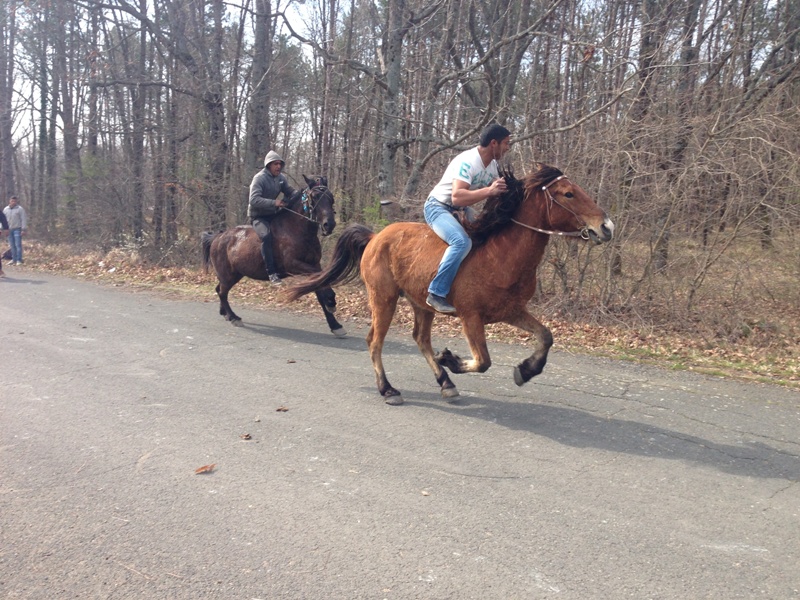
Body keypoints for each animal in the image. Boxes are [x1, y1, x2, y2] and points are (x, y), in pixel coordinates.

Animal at [200, 176, 344, 338]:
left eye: (330, 197)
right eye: (315, 196)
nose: (329, 224)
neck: (296, 229)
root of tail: (217, 237)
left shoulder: (314, 264)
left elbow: (320, 289)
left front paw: (335, 324)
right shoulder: (294, 265)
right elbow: (322, 283)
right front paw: (331, 301)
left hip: (234, 275)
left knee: (220, 290)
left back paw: (224, 313)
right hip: (227, 275)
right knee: (222, 292)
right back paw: (233, 317)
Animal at [286, 164, 612, 404]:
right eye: (568, 194)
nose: (606, 226)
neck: (500, 254)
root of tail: (375, 236)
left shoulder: (511, 311)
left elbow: (546, 337)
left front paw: (525, 370)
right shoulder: (470, 316)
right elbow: (483, 361)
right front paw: (451, 359)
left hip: (420, 303)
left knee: (420, 339)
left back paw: (445, 382)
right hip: (384, 298)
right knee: (374, 341)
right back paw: (389, 389)